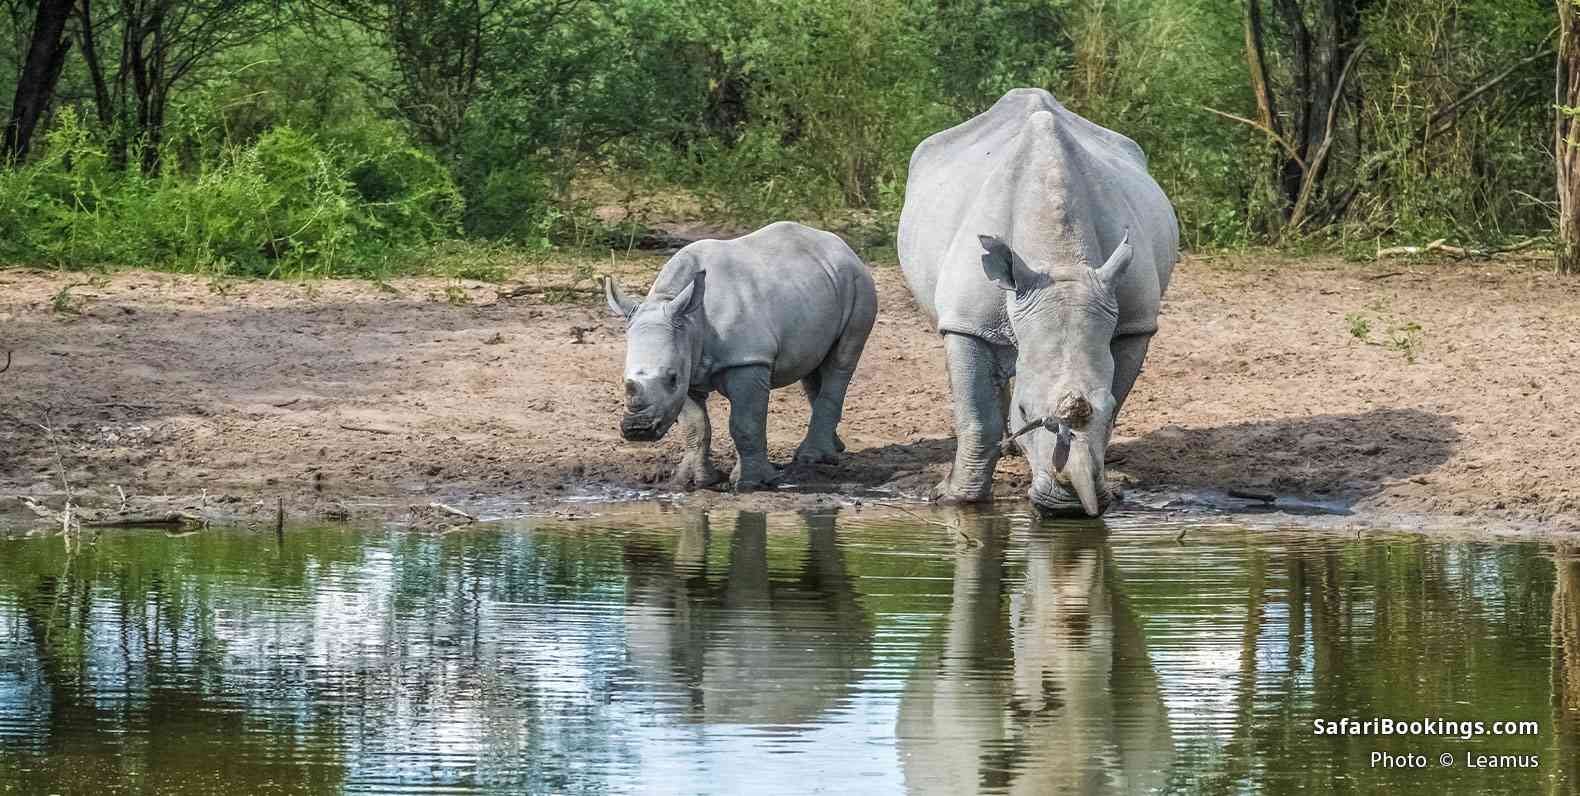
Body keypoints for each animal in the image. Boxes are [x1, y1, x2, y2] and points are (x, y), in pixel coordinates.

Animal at [604, 221, 878, 490]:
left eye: (671, 378)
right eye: (623, 380)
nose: (637, 429)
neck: (690, 321)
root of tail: (841, 245)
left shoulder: (747, 360)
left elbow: (745, 423)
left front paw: (751, 483)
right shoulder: (687, 366)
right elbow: (695, 426)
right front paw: (692, 481)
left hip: (858, 282)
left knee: (840, 362)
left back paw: (812, 458)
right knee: (813, 368)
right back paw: (834, 448)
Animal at [897, 88, 1179, 516]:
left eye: (1109, 407)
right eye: (1026, 411)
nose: (1069, 507)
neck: (1060, 261)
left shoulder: (1134, 323)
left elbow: (1117, 390)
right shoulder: (966, 322)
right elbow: (975, 416)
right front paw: (953, 499)